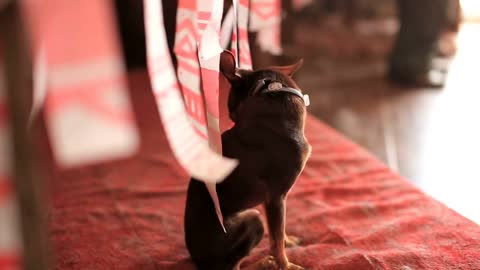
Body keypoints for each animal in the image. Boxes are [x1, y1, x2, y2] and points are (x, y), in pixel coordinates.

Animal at [184, 51, 312, 270]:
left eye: (230, 109)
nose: (231, 118)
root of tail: (197, 260)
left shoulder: (274, 202)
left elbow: (278, 232)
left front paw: (289, 242)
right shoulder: (276, 198)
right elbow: (276, 238)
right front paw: (286, 265)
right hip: (253, 219)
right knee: (233, 267)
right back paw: (264, 263)